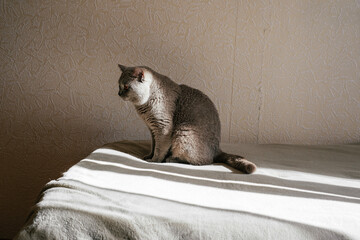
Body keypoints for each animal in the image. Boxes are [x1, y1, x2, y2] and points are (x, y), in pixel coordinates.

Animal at [117, 64, 256, 173]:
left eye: (126, 87)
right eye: (119, 85)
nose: (118, 93)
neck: (145, 107)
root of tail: (217, 150)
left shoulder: (163, 128)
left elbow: (160, 148)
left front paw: (154, 161)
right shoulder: (152, 129)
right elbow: (153, 145)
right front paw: (148, 156)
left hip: (183, 131)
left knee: (202, 161)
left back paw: (170, 159)